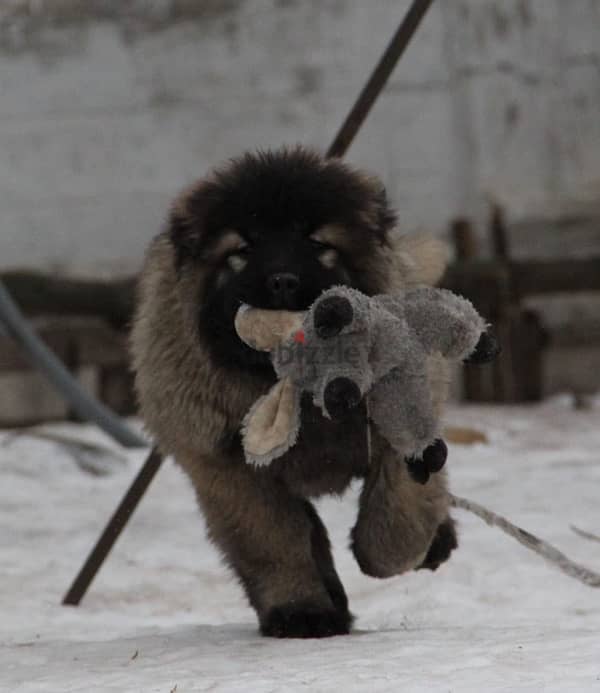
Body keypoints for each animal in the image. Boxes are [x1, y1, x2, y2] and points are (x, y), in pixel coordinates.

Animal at [131, 146, 458, 636]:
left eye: (318, 244)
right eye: (242, 251)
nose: (283, 280)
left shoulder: (397, 429)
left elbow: (395, 518)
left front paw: (402, 549)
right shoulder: (231, 471)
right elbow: (275, 543)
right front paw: (301, 610)